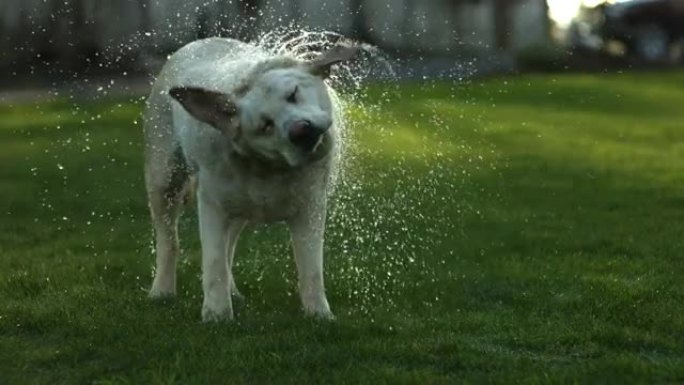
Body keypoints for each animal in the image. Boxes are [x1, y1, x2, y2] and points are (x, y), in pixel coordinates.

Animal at [142, 37, 360, 320]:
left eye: (293, 94)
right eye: (265, 125)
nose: (300, 130)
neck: (270, 168)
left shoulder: (310, 209)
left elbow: (311, 268)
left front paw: (320, 315)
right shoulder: (211, 204)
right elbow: (213, 262)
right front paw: (217, 314)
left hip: (238, 207)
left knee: (229, 245)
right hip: (163, 178)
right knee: (169, 240)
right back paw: (162, 291)